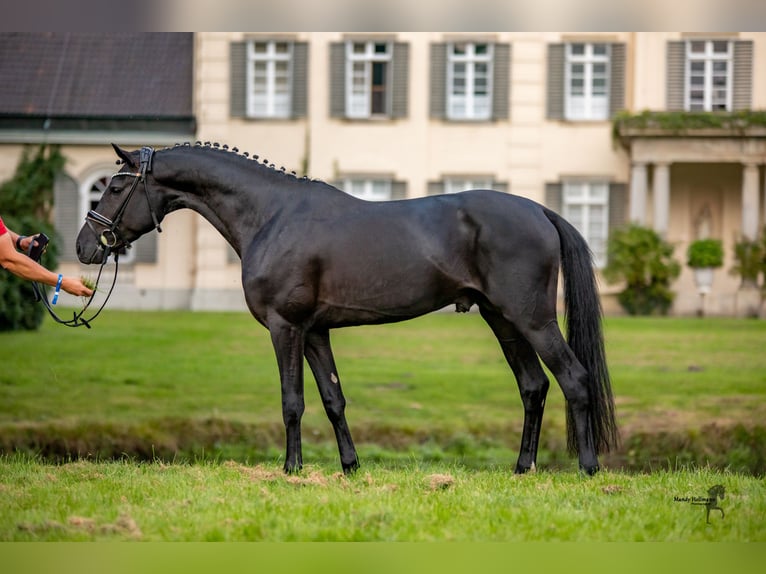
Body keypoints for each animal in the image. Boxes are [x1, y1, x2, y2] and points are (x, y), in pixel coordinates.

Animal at [75, 144, 620, 476]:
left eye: (116, 186)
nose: (85, 246)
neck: (272, 215)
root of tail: (540, 210)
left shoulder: (285, 328)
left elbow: (292, 401)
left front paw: (291, 469)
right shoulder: (316, 332)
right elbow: (333, 398)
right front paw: (350, 465)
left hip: (533, 320)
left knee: (574, 378)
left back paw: (588, 467)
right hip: (503, 321)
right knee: (534, 386)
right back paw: (523, 467)